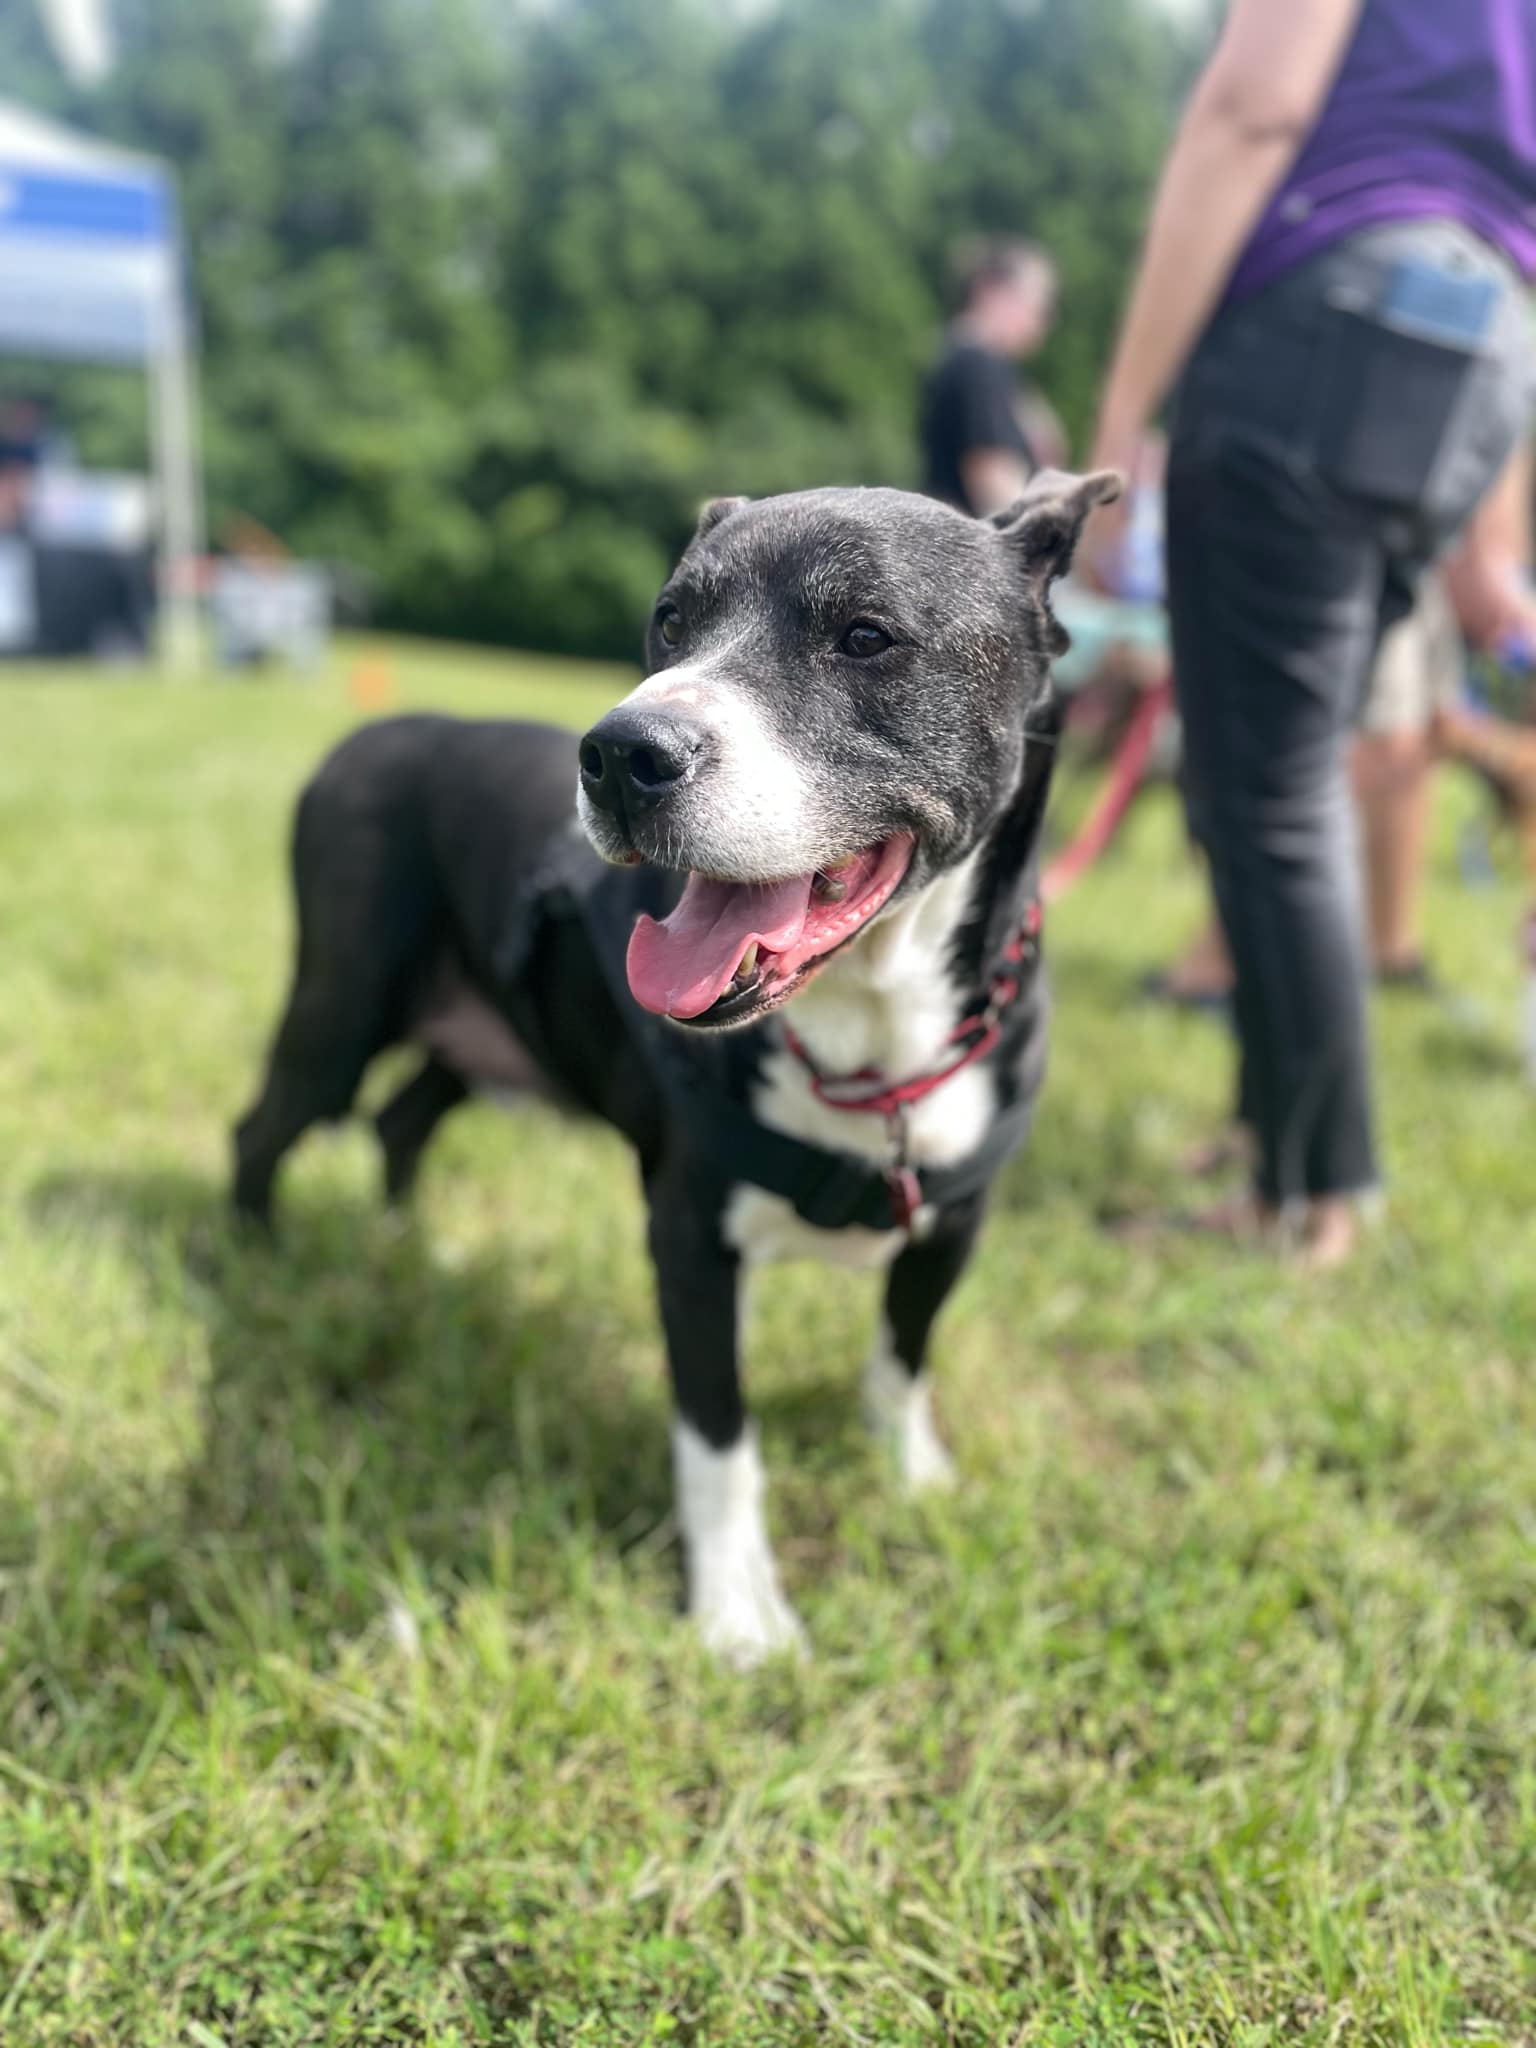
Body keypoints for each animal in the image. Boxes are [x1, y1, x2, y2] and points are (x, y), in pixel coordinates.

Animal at [231, 475, 1122, 1662]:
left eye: (865, 635)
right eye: (668, 622)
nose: (618, 752)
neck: (870, 1025)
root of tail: (366, 735)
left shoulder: (954, 1220)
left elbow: (903, 1353)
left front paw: (912, 1476)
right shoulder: (691, 1236)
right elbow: (719, 1433)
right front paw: (740, 1612)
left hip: (483, 1022)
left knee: (404, 1117)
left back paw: (406, 1243)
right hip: (342, 1005)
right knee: (270, 1123)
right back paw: (254, 1259)